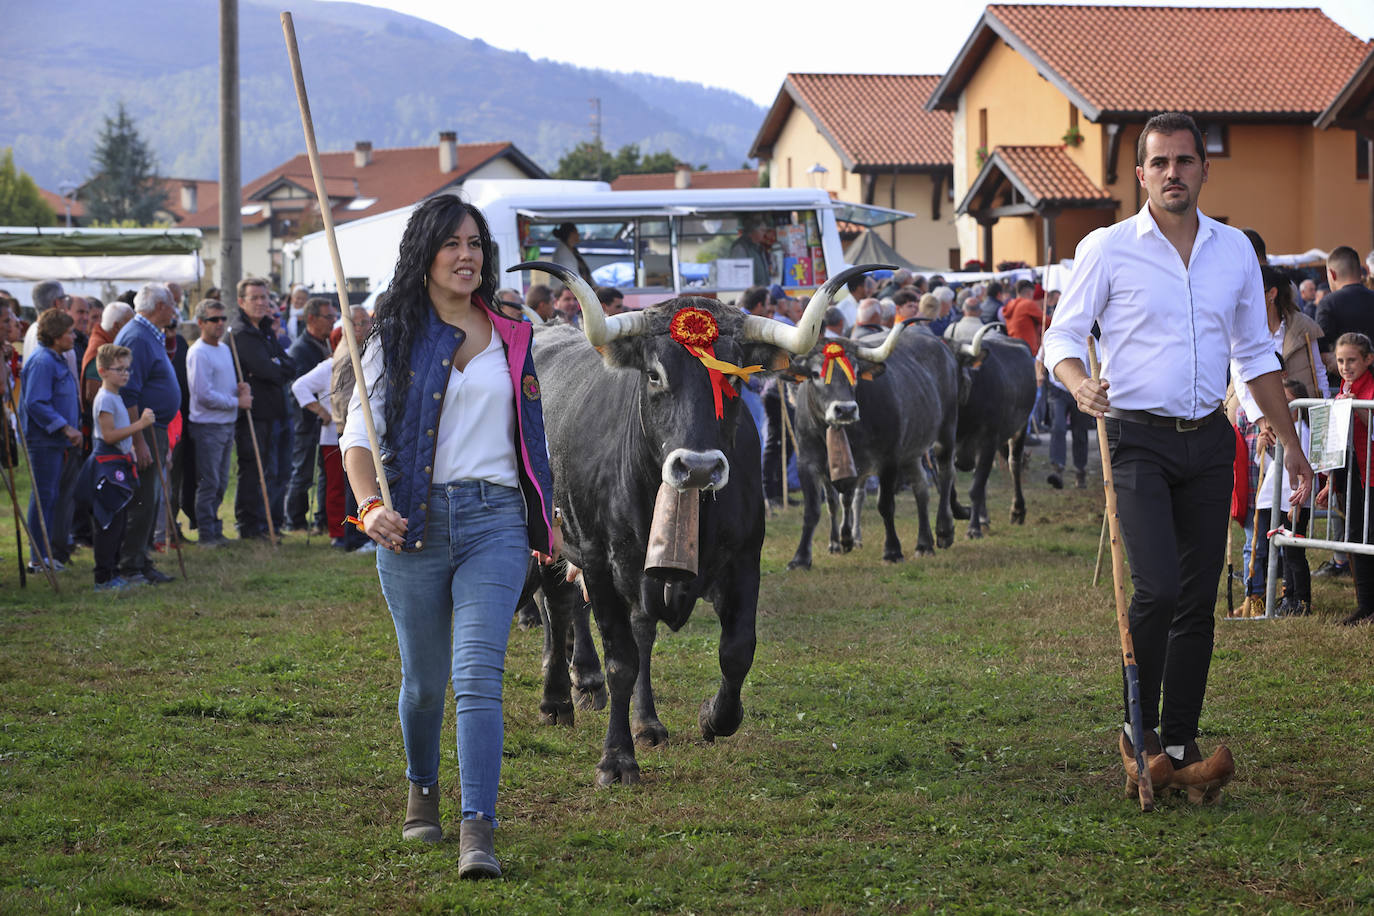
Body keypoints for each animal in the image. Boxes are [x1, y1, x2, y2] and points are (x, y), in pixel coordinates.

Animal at [780, 321, 961, 565]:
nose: (845, 409)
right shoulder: (808, 462)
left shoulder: (888, 460)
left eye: (855, 373)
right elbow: (817, 508)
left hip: (946, 431)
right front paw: (803, 556)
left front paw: (892, 550)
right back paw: (924, 544)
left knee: (945, 474)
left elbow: (884, 505)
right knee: (921, 487)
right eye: (816, 373)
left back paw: (943, 531)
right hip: (911, 451)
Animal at [950, 325, 1033, 538]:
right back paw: (983, 518)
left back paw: (1017, 511)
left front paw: (973, 529)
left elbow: (975, 488)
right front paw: (963, 513)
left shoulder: (987, 442)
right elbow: (950, 487)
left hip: (1019, 428)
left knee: (1014, 464)